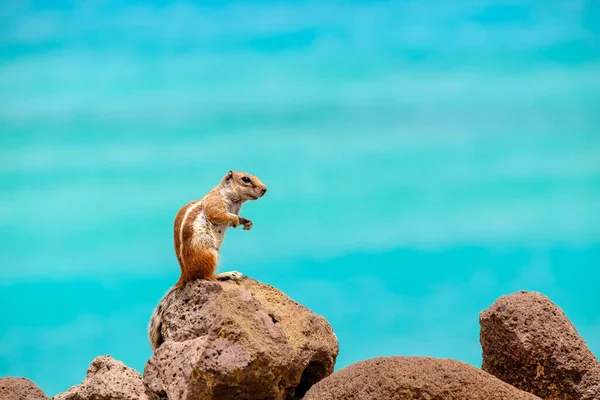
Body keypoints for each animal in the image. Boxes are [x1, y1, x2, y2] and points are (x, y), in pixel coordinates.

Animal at [148, 170, 268, 352]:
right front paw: (235, 220)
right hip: (210, 254)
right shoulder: (216, 205)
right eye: (246, 179)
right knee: (208, 276)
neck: (234, 199)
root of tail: (186, 274)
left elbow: (236, 218)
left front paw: (246, 222)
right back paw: (228, 274)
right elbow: (221, 215)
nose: (265, 189)